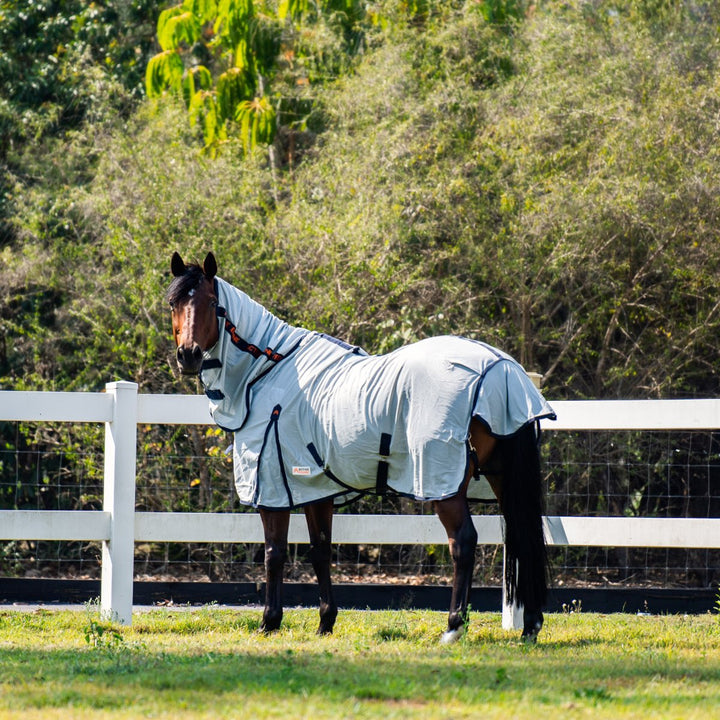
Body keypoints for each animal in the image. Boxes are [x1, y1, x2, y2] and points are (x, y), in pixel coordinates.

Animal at [166, 250, 556, 640]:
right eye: (173, 303)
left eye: (212, 302)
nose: (189, 355)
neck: (265, 372)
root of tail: (503, 370)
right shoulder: (314, 487)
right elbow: (320, 550)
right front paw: (325, 621)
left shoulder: (273, 488)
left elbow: (274, 552)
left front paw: (269, 621)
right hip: (502, 478)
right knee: (523, 538)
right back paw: (530, 626)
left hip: (443, 485)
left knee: (462, 542)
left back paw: (453, 627)